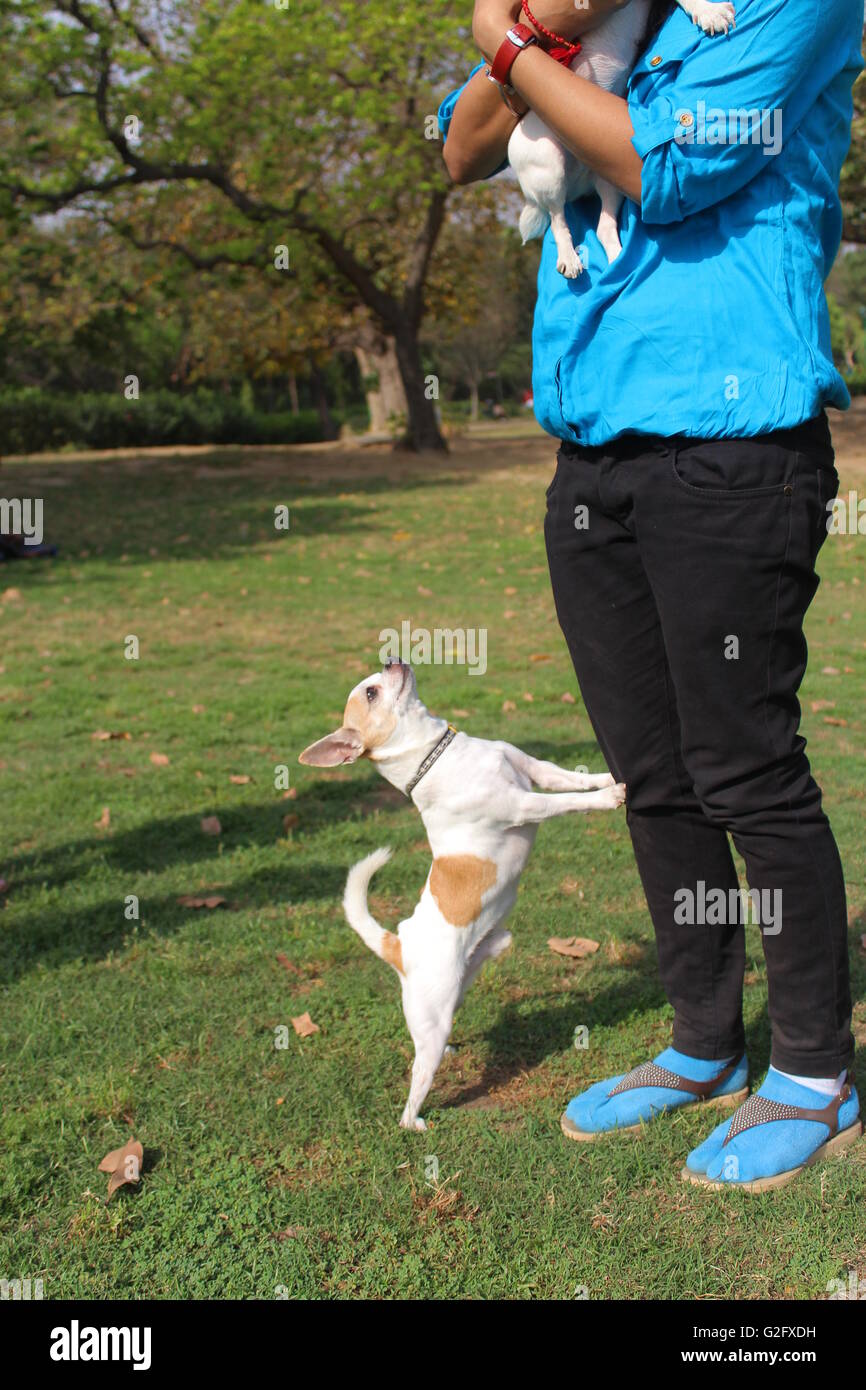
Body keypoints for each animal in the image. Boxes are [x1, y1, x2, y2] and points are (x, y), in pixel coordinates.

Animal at [297, 658, 622, 1128]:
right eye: (371, 693)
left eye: (374, 680)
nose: (392, 659)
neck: (439, 754)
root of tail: (397, 944)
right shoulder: (523, 805)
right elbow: (566, 803)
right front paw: (611, 795)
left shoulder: (535, 769)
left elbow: (572, 781)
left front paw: (609, 776)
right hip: (430, 1021)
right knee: (417, 1080)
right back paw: (415, 1122)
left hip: (470, 974)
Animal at [511, 0, 733, 276]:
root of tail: (578, 184)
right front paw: (710, 12)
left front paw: (708, 11)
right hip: (548, 168)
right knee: (557, 219)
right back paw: (569, 258)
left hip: (612, 177)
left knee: (603, 228)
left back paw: (619, 263)